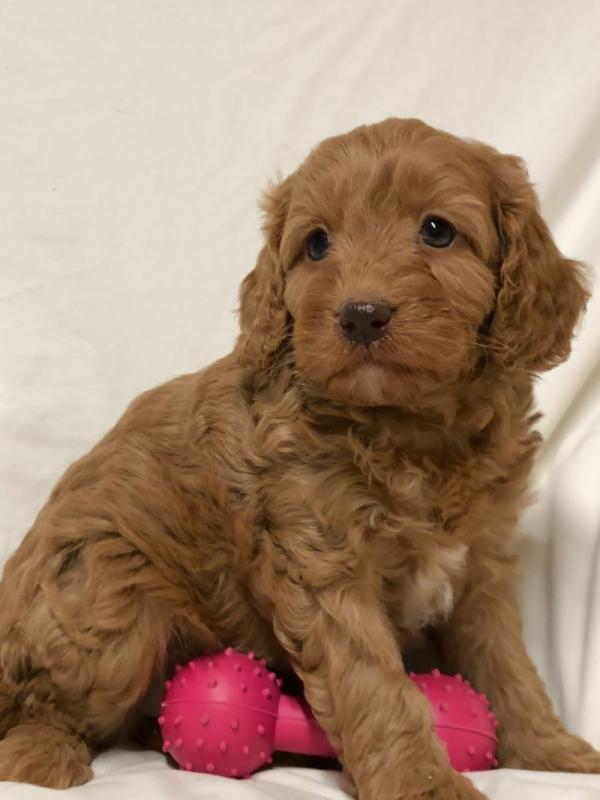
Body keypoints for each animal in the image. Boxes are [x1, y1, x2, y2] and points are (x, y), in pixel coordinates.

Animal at [1, 120, 600, 800]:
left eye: (438, 231)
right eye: (316, 245)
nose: (361, 314)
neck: (409, 429)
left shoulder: (482, 563)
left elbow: (508, 666)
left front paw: (551, 752)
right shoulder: (321, 562)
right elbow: (372, 684)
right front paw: (422, 783)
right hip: (102, 598)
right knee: (35, 705)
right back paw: (44, 754)